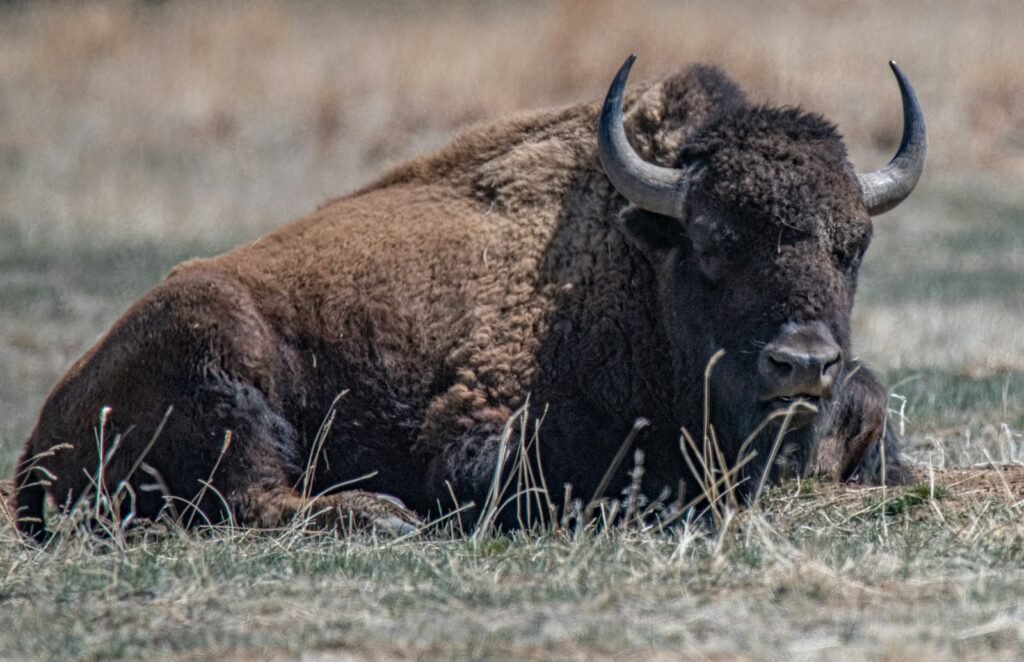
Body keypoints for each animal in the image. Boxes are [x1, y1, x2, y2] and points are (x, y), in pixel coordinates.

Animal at [12, 55, 925, 539]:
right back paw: (384, 515)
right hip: (220, 353)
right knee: (255, 493)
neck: (633, 263)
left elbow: (873, 401)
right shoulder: (478, 438)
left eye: (852, 247)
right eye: (713, 243)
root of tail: (42, 433)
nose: (802, 363)